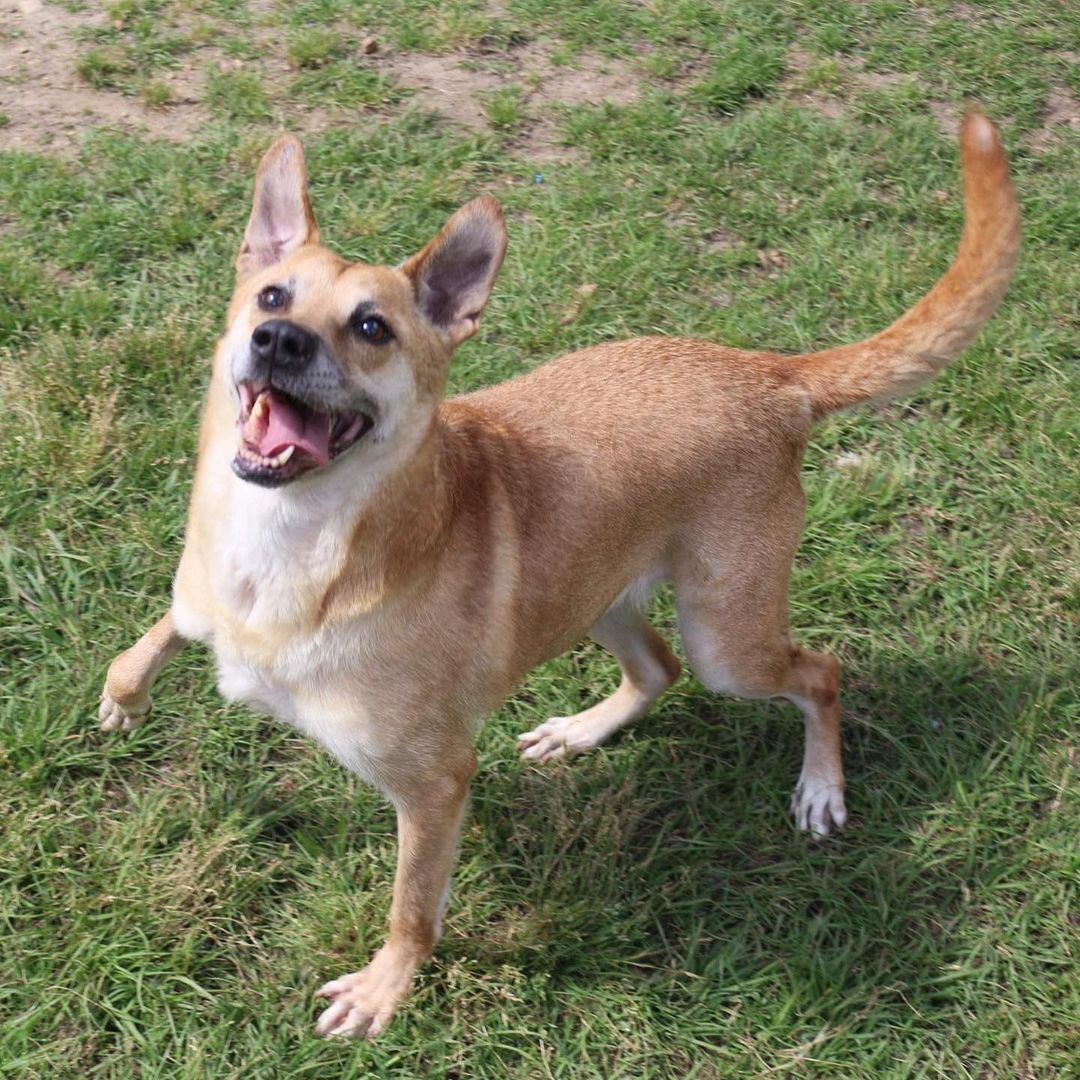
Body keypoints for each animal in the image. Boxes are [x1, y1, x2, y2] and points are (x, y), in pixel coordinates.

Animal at [99, 107, 1019, 1036]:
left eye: (372, 328)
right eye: (272, 295)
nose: (277, 340)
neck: (292, 545)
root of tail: (770, 372)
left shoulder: (435, 786)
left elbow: (412, 910)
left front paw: (383, 990)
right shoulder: (202, 597)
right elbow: (149, 641)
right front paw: (123, 700)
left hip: (729, 640)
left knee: (818, 672)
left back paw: (820, 788)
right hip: (595, 589)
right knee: (657, 667)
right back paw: (580, 731)